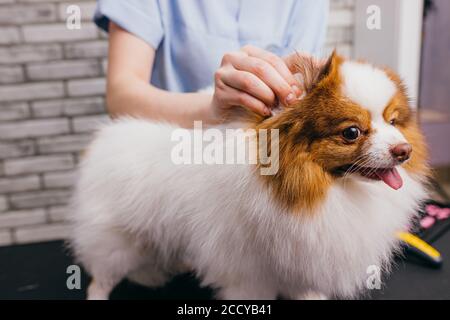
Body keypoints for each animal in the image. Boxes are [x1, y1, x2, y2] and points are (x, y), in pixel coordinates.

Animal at [69, 52, 428, 300]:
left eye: (393, 121)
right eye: (352, 132)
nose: (404, 150)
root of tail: (104, 141)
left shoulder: (304, 264)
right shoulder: (248, 271)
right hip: (118, 241)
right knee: (101, 278)